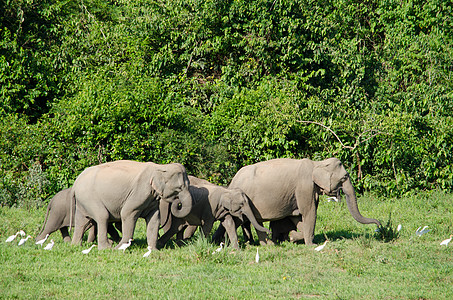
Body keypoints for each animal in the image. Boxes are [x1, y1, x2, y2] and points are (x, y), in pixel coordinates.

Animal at [215, 157, 378, 246]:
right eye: (344, 177)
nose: (379, 225)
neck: (316, 163)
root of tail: (233, 179)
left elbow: (298, 217)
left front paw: (294, 237)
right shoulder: (305, 188)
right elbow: (309, 213)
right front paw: (310, 244)